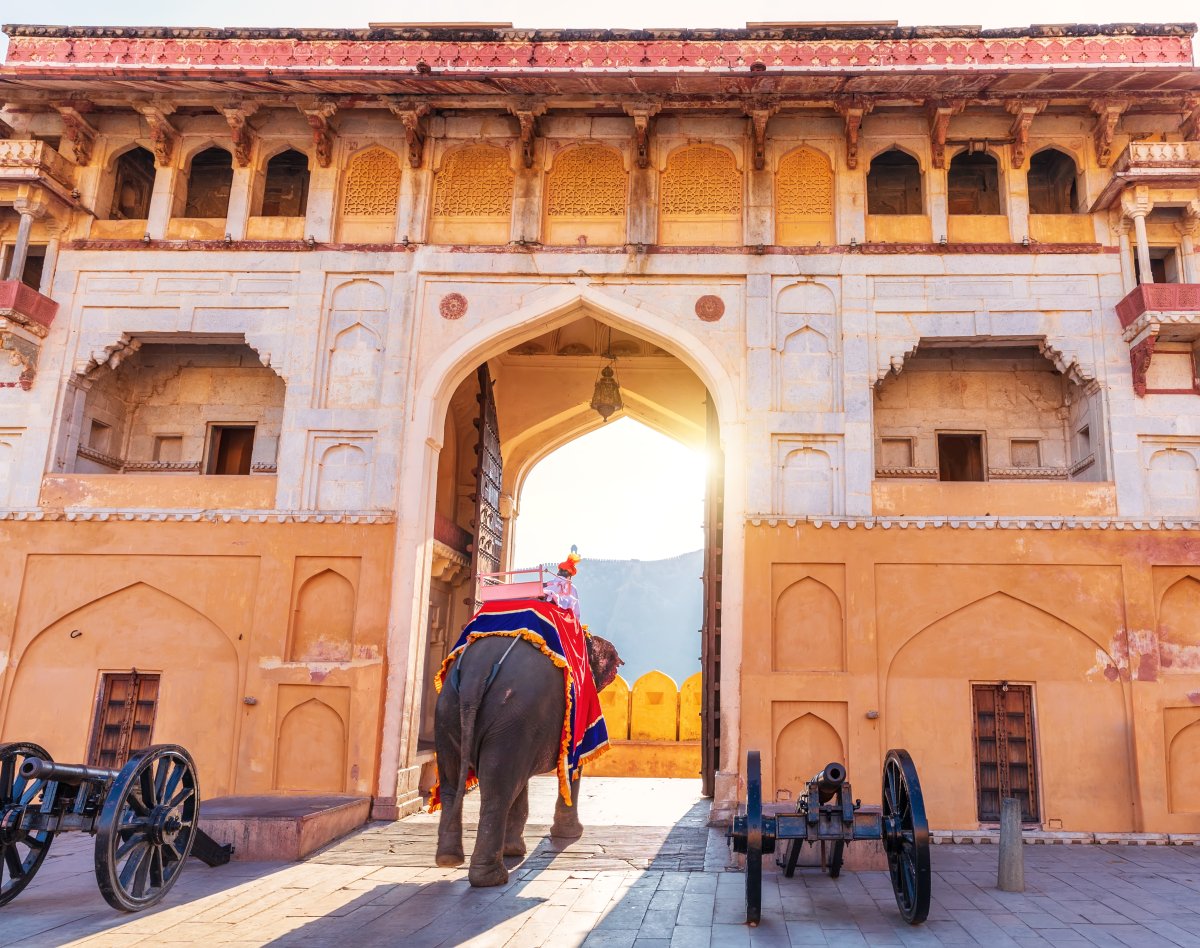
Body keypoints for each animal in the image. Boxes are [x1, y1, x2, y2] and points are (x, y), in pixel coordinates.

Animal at [432, 609, 619, 892]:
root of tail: (475, 674)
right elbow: (571, 769)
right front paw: (570, 835)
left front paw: (514, 851)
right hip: (511, 715)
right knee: (498, 791)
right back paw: (492, 878)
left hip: (453, 713)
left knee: (457, 783)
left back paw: (448, 860)